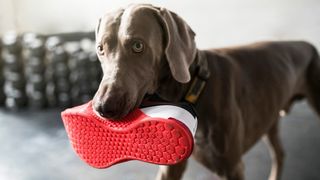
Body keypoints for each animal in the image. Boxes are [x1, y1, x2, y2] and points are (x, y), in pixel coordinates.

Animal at [92, 3, 320, 180]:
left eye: (138, 45)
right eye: (100, 49)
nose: (103, 107)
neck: (192, 93)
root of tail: (306, 43)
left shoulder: (232, 168)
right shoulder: (171, 165)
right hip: (269, 116)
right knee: (279, 154)